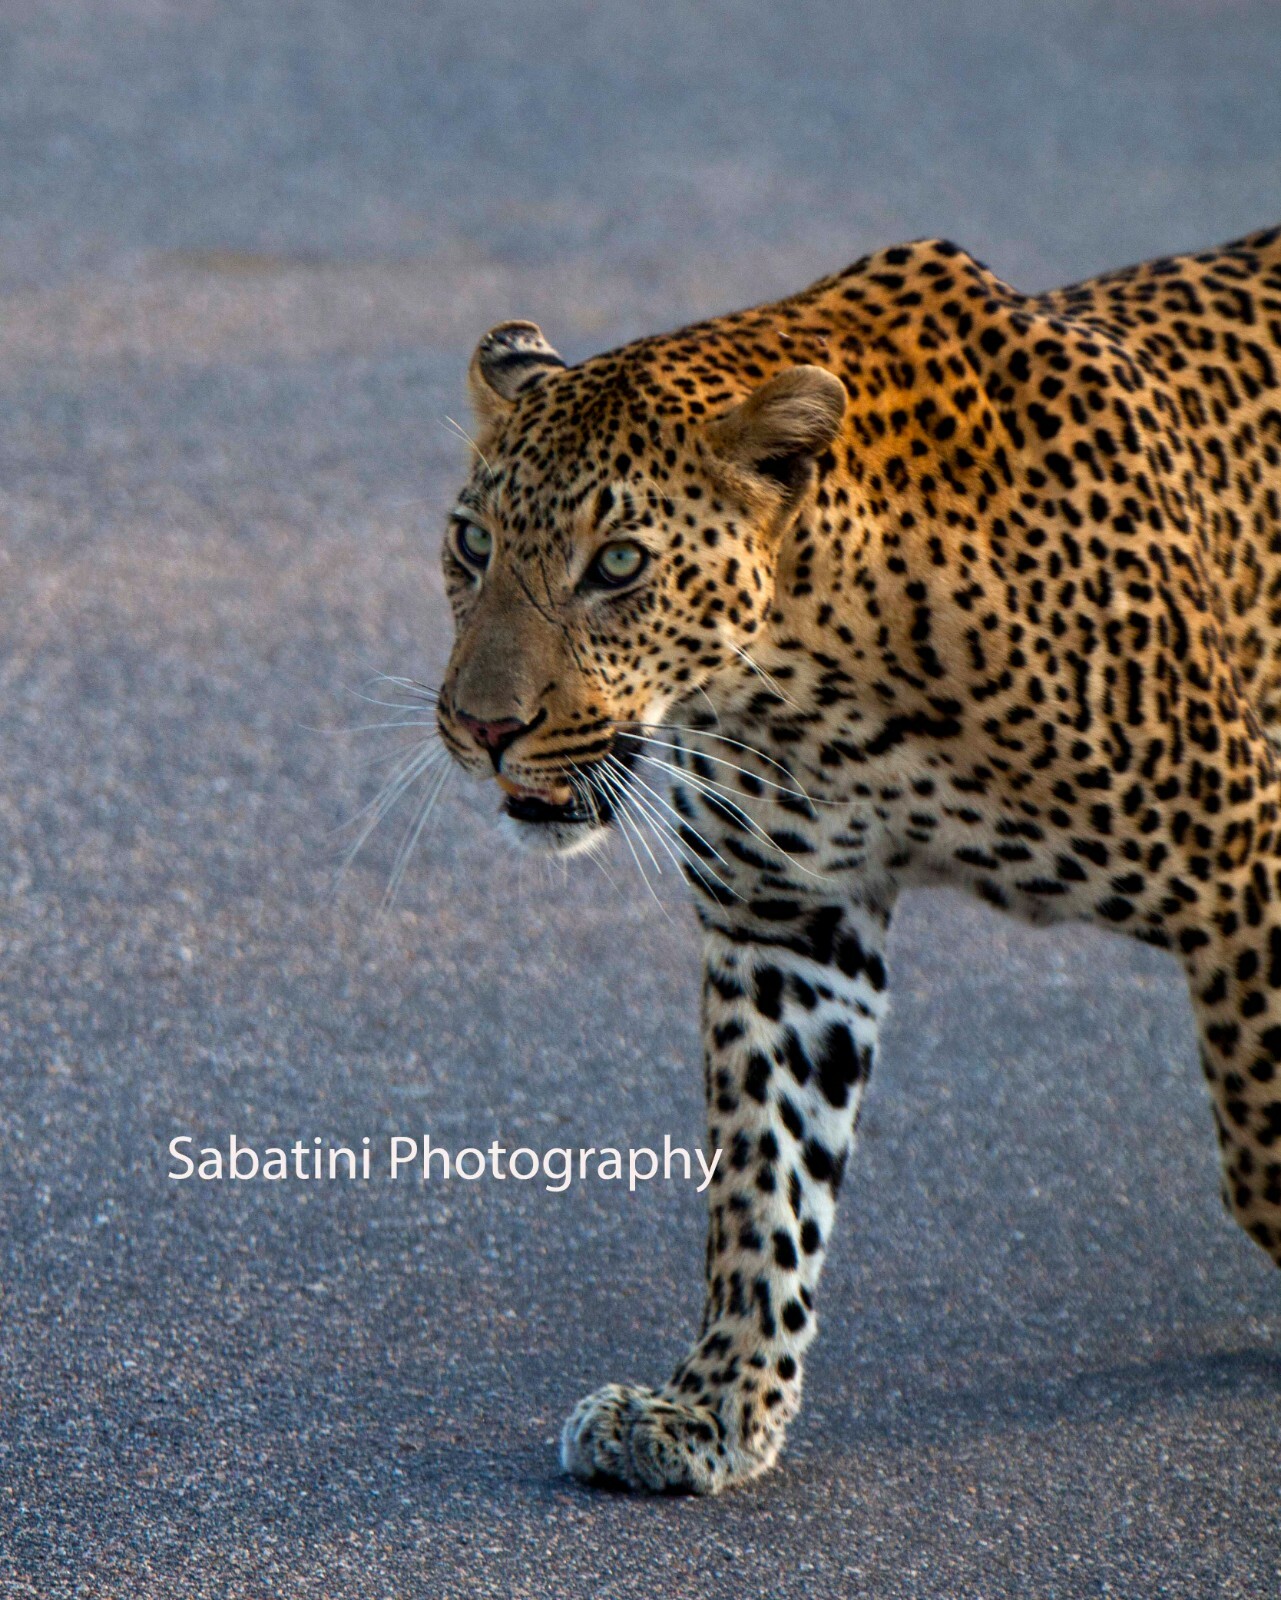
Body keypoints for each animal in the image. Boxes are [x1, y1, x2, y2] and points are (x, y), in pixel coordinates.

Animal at [428, 224, 1281, 1494]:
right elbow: (765, 1180)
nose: (482, 728)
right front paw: (713, 1405)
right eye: (472, 542)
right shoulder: (787, 921)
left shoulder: (1246, 856)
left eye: (619, 564)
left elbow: (1261, 1144)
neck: (815, 675)